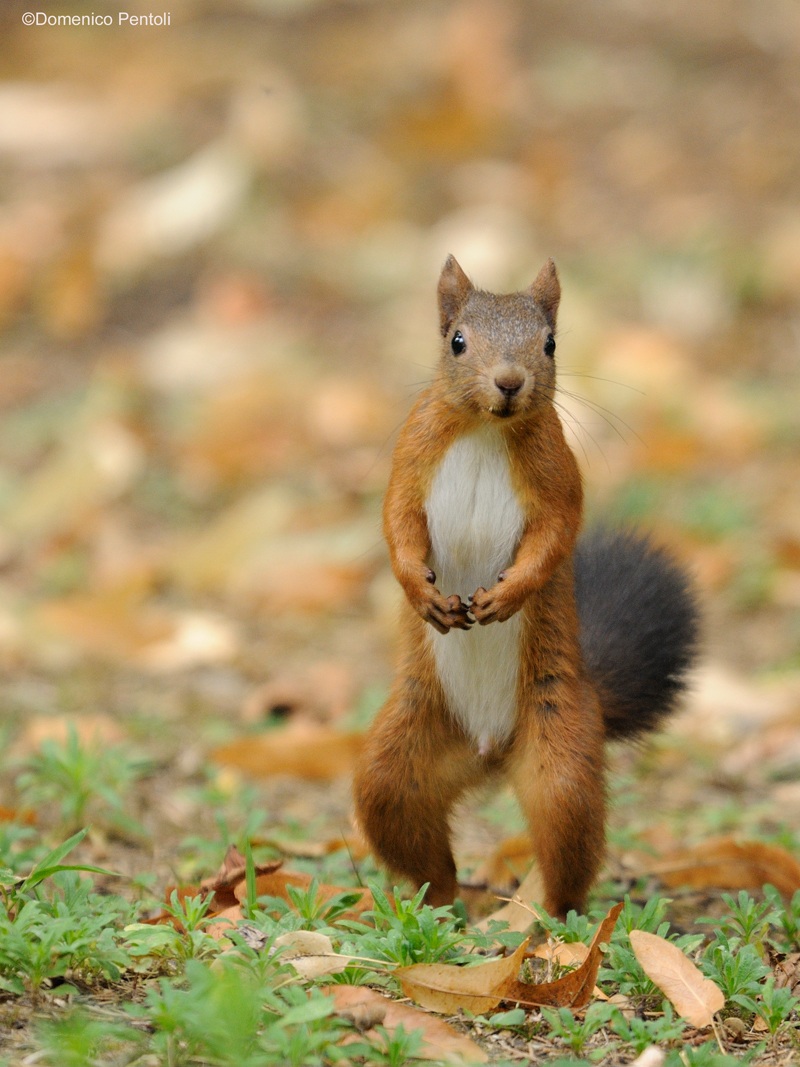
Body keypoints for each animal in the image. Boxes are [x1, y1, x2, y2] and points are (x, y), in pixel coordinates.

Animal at [352, 256, 699, 919]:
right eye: (457, 341)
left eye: (550, 343)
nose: (509, 382)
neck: (484, 431)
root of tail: (488, 755)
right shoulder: (411, 457)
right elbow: (397, 526)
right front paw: (421, 592)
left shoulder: (559, 474)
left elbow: (553, 538)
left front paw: (507, 596)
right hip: (399, 761)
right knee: (415, 839)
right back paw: (442, 909)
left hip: (561, 756)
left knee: (566, 857)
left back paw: (527, 918)